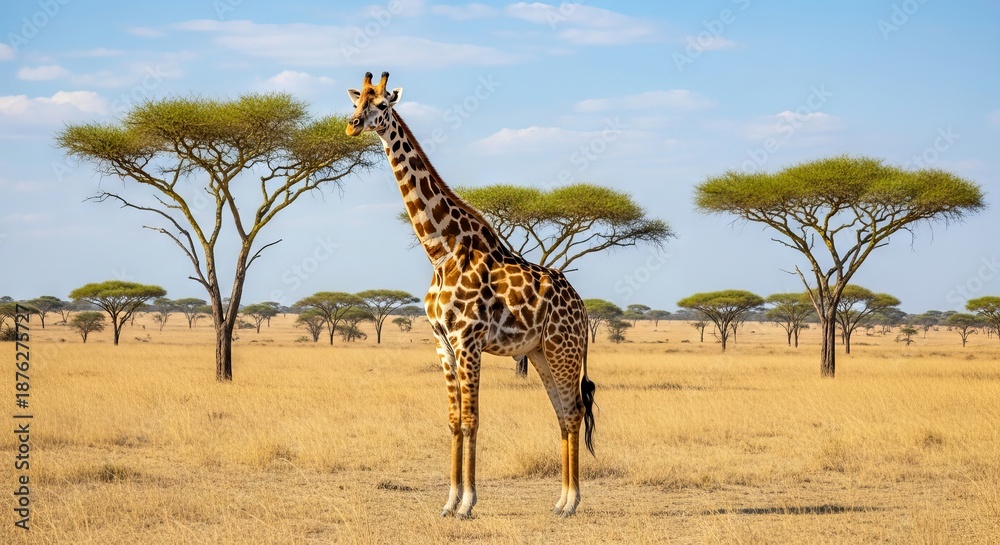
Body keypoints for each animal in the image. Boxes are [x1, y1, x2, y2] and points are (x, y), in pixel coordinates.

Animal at [345, 72, 596, 518]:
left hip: (562, 351)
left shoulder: (468, 341)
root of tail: (582, 306)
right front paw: (448, 502)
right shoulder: (442, 344)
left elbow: (471, 420)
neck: (441, 251)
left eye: (383, 105)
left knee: (574, 412)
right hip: (540, 353)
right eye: (358, 102)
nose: (353, 125)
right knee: (563, 413)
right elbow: (452, 421)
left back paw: (571, 502)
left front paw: (467, 503)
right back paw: (560, 501)